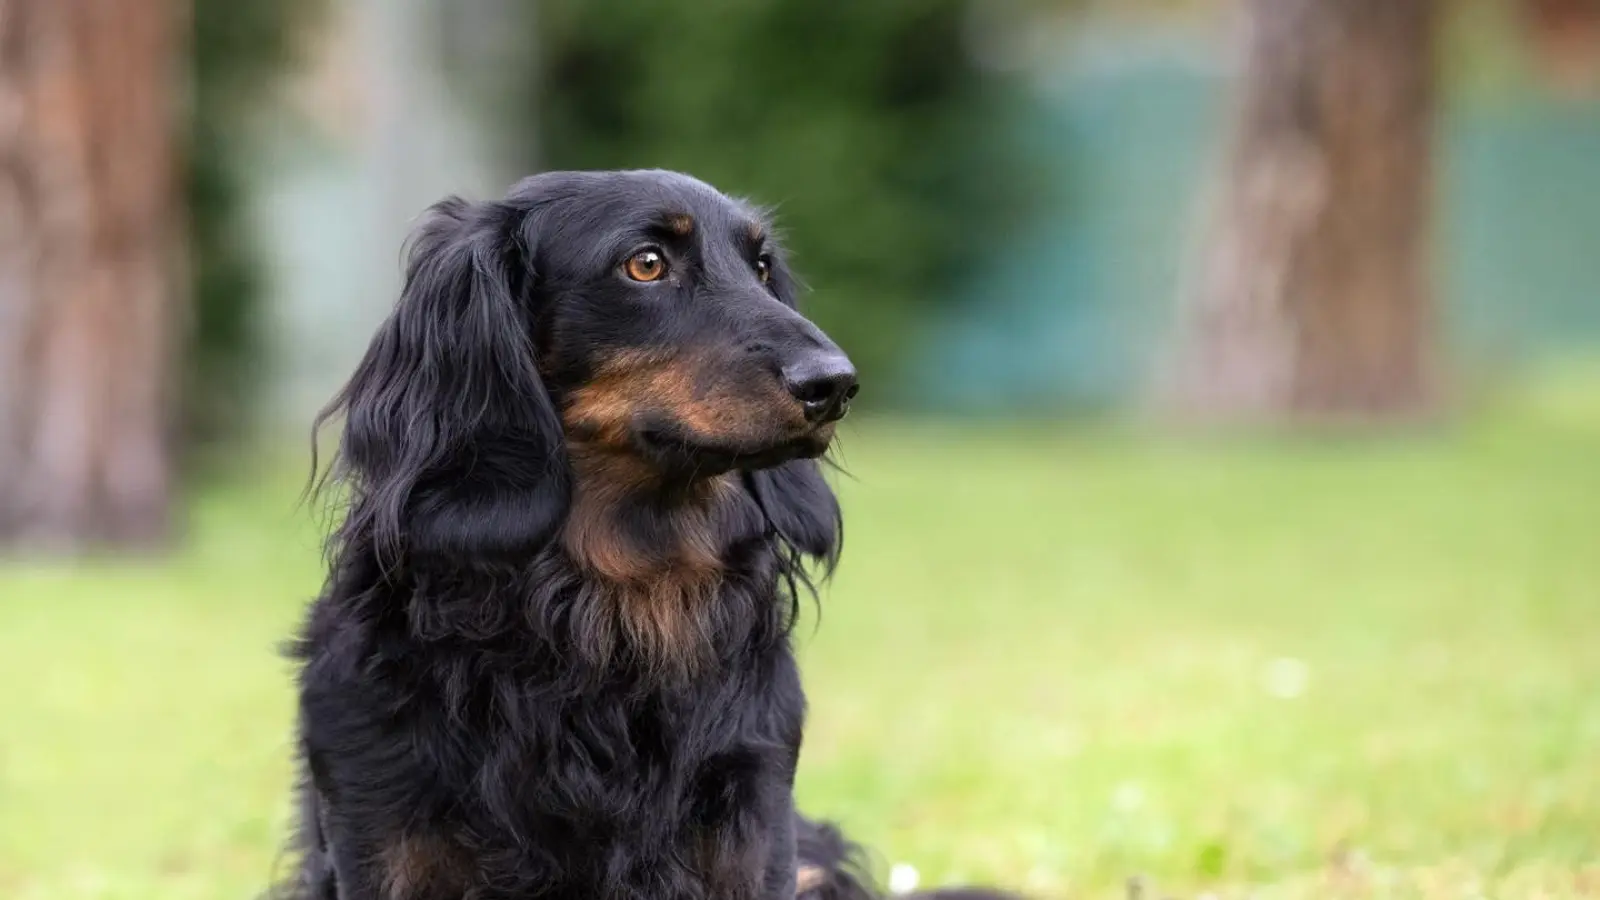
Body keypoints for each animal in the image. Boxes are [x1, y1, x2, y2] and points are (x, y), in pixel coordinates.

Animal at [281, 169, 1011, 896]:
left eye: (762, 266)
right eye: (646, 264)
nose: (834, 385)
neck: (615, 610)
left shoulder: (753, 824)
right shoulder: (384, 834)